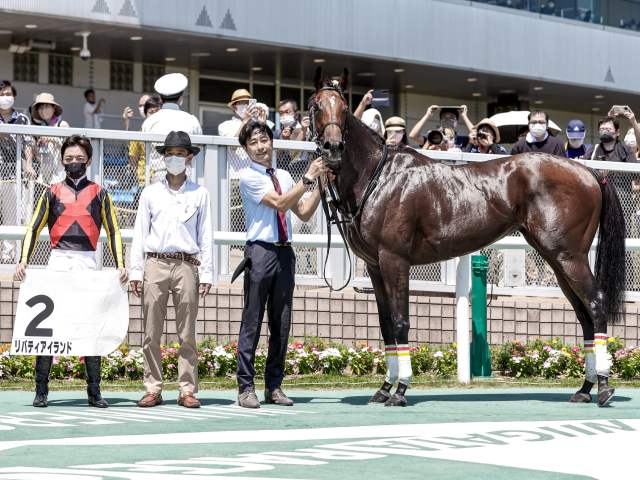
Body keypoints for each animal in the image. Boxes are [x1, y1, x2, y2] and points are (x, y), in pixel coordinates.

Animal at [310, 69, 624, 406]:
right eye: (316, 106)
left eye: (344, 108)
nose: (332, 147)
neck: (379, 177)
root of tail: (589, 173)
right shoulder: (374, 266)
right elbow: (386, 325)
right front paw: (383, 388)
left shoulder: (394, 260)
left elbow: (400, 320)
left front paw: (400, 390)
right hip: (558, 260)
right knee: (584, 314)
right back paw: (585, 388)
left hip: (569, 256)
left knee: (596, 303)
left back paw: (604, 387)